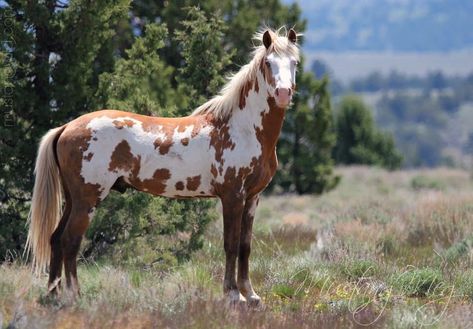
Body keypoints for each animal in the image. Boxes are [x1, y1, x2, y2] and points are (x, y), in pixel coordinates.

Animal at [25, 28, 298, 304]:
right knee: (70, 241)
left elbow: (245, 245)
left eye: (294, 63)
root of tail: (66, 127)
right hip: (87, 200)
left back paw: (53, 294)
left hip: (72, 198)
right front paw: (233, 295)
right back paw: (74, 295)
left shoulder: (252, 197)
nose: (283, 93)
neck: (242, 129)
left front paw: (250, 295)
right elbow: (230, 244)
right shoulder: (232, 196)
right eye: (268, 63)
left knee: (56, 239)